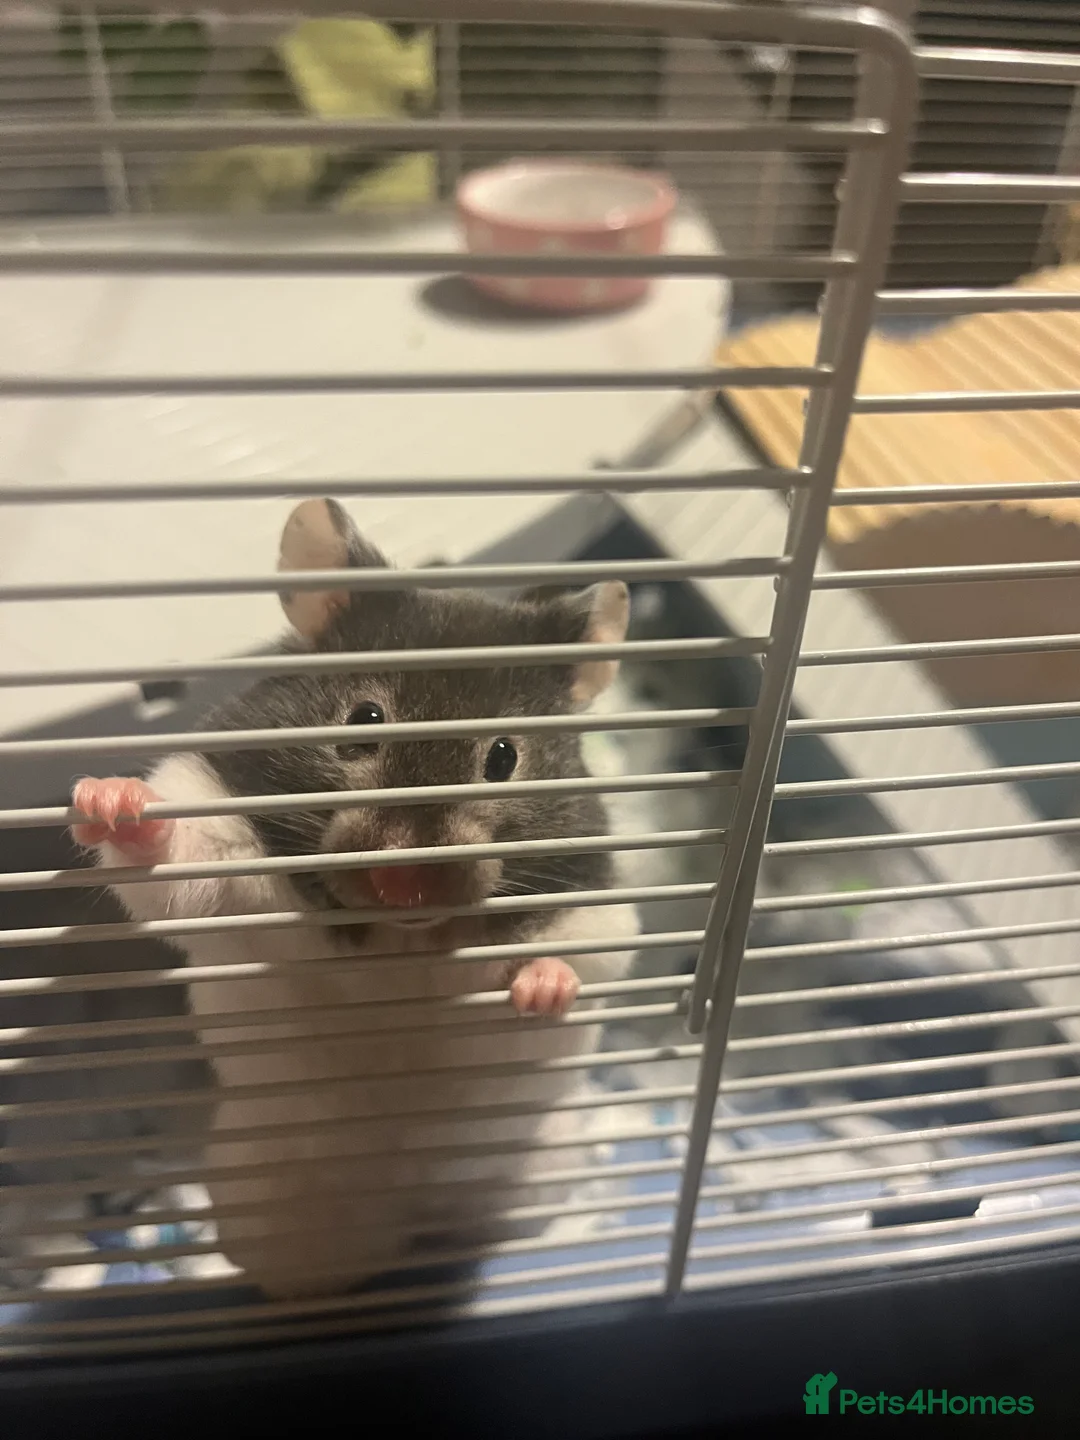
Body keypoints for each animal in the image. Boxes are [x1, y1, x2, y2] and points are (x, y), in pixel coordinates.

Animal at [70, 498, 637, 1301]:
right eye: (363, 721)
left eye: (503, 756)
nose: (405, 883)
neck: (400, 938)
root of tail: (407, 1222)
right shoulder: (221, 852)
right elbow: (175, 857)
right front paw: (108, 800)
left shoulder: (599, 900)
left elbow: (573, 960)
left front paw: (541, 988)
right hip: (265, 1197)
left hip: (536, 1167)